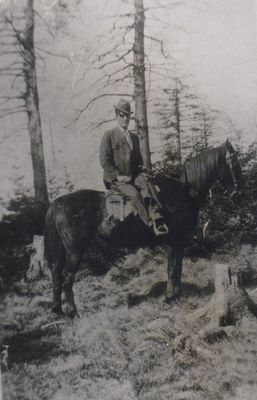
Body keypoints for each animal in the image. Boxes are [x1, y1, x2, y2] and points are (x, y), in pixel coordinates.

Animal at [43, 139, 240, 318]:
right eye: (233, 163)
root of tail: (57, 203)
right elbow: (173, 268)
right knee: (67, 277)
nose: (237, 193)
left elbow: (177, 268)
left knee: (56, 274)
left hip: (61, 250)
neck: (183, 191)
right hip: (75, 250)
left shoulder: (178, 241)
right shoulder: (175, 240)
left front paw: (175, 295)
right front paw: (170, 297)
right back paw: (73, 312)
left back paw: (57, 309)